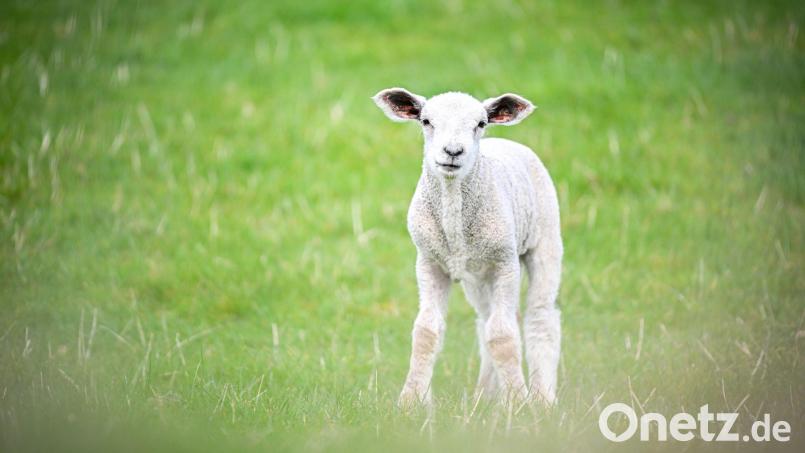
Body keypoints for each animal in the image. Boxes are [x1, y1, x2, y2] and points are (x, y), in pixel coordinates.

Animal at [372, 88, 563, 408]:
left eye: (481, 123)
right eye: (426, 121)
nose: (452, 151)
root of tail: (507, 142)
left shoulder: (505, 262)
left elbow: (502, 335)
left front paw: (518, 401)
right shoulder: (429, 261)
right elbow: (426, 331)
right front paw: (412, 400)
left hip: (545, 239)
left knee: (540, 316)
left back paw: (542, 397)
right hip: (477, 276)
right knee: (486, 321)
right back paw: (484, 396)